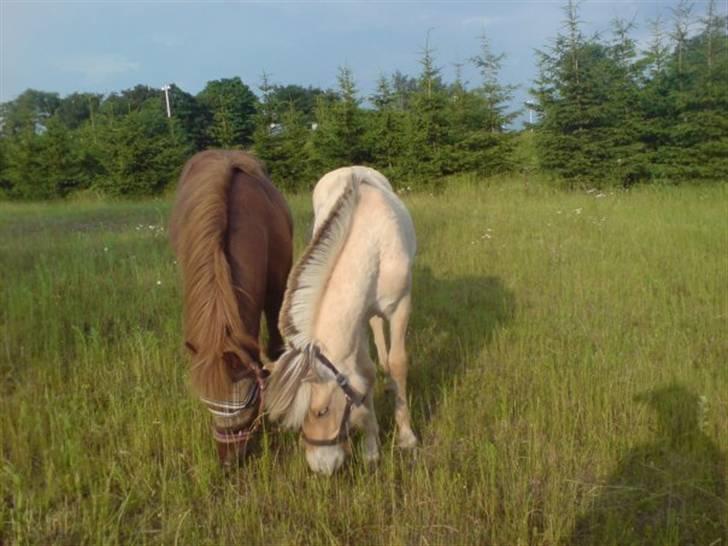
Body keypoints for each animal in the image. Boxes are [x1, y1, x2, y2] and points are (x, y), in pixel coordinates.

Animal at [266, 165, 416, 472]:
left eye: (322, 411)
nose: (321, 467)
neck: (374, 242)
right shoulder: (355, 322)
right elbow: (365, 374)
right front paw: (371, 445)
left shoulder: (401, 306)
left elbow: (399, 363)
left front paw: (407, 436)